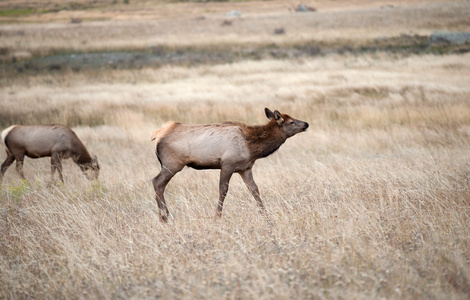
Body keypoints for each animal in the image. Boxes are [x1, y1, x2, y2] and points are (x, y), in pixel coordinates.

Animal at [151, 108, 308, 223]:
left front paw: (266, 214)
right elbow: (223, 190)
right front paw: (217, 216)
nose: (306, 124)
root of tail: (156, 135)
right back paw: (164, 216)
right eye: (292, 122)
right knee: (157, 182)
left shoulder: (245, 168)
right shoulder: (227, 163)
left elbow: (254, 190)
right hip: (172, 163)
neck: (252, 148)